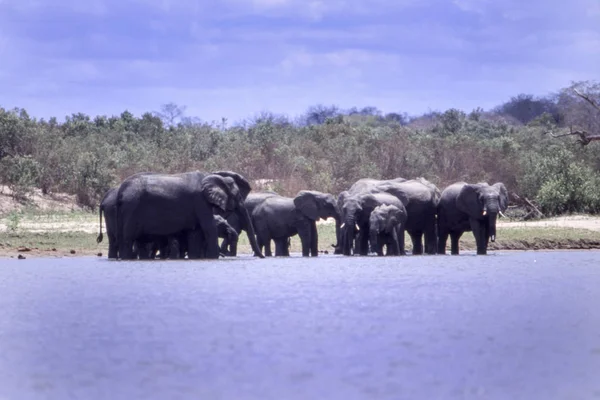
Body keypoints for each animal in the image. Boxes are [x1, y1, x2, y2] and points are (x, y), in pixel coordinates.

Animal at [116, 170, 264, 260]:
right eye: (238, 196)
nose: (262, 257)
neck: (212, 177)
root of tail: (121, 190)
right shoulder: (200, 201)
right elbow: (209, 228)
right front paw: (213, 258)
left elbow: (195, 232)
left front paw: (195, 258)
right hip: (132, 207)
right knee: (128, 238)